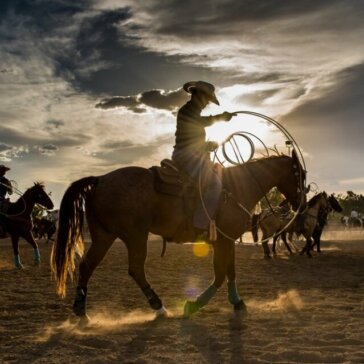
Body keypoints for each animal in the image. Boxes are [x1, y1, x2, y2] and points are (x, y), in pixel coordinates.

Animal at [51, 151, 306, 322]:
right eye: (299, 175)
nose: (300, 205)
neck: (234, 188)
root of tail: (100, 179)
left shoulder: (227, 241)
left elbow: (229, 272)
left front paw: (237, 302)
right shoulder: (224, 241)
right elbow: (220, 274)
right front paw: (194, 305)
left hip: (105, 236)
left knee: (87, 266)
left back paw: (81, 311)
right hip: (135, 236)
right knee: (135, 269)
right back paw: (159, 307)